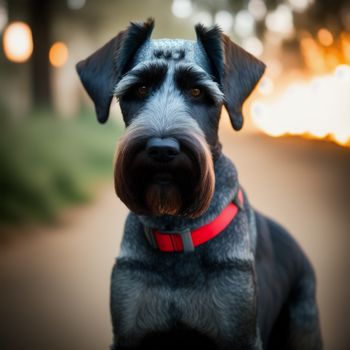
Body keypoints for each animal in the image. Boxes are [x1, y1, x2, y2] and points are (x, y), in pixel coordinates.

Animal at [76, 19, 322, 350]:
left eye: (196, 91)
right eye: (140, 88)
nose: (162, 150)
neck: (176, 232)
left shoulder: (240, 333)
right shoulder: (129, 331)